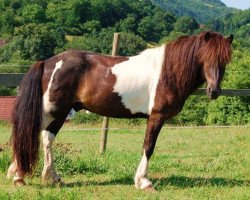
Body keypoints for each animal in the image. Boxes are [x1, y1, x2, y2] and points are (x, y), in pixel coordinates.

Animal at [6, 30, 233, 189]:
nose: (214, 91)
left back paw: (51, 176)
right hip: (50, 110)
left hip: (60, 112)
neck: (168, 72)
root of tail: (47, 62)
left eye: (225, 60)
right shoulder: (156, 117)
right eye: (204, 57)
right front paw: (143, 182)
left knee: (47, 138)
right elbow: (148, 147)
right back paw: (18, 176)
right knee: (29, 133)